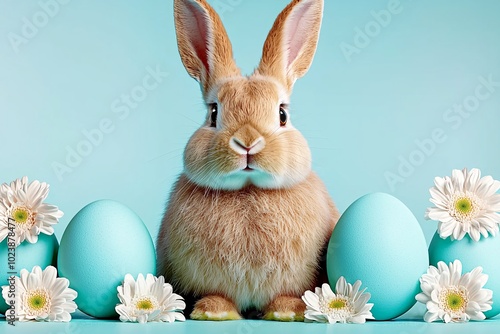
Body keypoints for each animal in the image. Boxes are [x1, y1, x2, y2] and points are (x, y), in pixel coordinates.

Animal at [157, 0, 340, 320]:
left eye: (282, 114)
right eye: (213, 113)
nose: (247, 142)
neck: (248, 189)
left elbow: (284, 295)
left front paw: (287, 312)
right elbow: (219, 294)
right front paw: (213, 312)